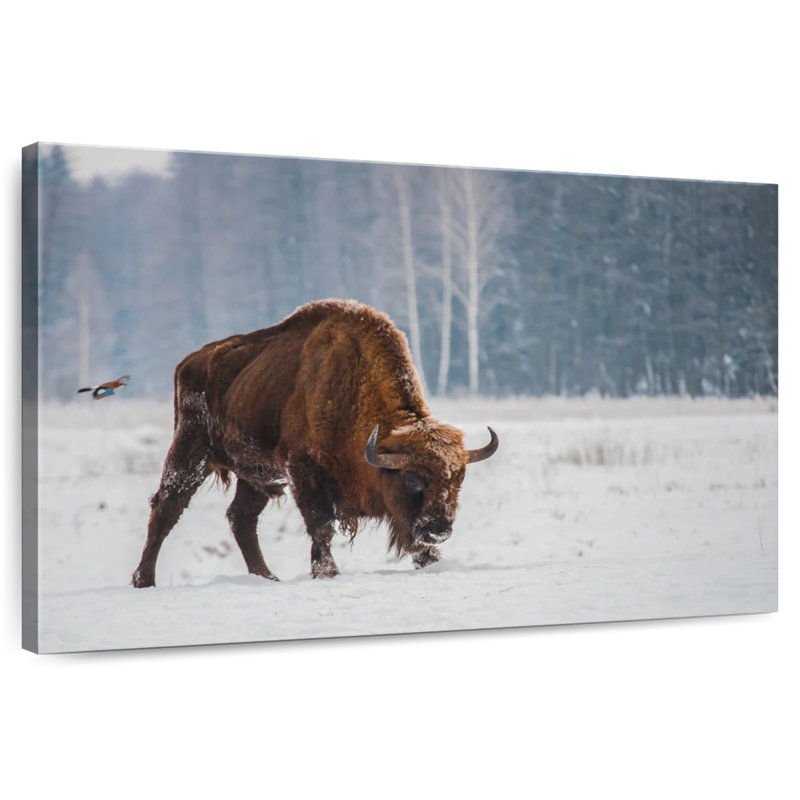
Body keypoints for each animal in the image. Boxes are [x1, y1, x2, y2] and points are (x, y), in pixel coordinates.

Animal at [132, 300, 497, 587]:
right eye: (412, 479)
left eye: (457, 479)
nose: (439, 529)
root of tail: (188, 362)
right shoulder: (303, 473)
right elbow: (321, 525)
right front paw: (327, 572)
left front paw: (432, 562)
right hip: (190, 452)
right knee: (166, 508)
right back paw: (144, 580)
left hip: (254, 473)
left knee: (241, 518)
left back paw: (267, 577)